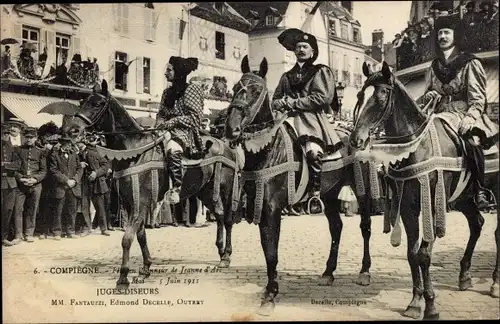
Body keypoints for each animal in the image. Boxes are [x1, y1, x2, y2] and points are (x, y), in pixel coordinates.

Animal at [67, 79, 242, 288]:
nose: (72, 130)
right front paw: (145, 268)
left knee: (229, 219)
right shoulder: (131, 203)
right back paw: (222, 252)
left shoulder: (140, 203)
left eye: (97, 104)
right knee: (220, 215)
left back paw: (227, 255)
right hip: (204, 191)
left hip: (225, 189)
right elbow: (140, 235)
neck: (133, 151)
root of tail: (227, 146)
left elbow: (127, 238)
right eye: (83, 102)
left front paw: (123, 278)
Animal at [225, 56, 380, 316]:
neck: (268, 148)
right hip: (329, 195)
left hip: (363, 190)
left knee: (365, 227)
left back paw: (365, 272)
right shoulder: (261, 207)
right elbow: (267, 249)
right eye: (236, 88)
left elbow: (272, 252)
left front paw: (270, 295)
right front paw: (269, 290)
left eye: (256, 91)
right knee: (336, 227)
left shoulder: (272, 210)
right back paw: (328, 272)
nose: (231, 129)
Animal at [350, 60, 498, 318]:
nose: (356, 139)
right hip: (464, 198)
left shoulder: (433, 206)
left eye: (381, 96)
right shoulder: (408, 207)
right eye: (360, 96)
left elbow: (424, 254)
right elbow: (412, 254)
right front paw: (415, 301)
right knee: (477, 224)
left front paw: (430, 304)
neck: (417, 147)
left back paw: (495, 283)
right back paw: (464, 276)